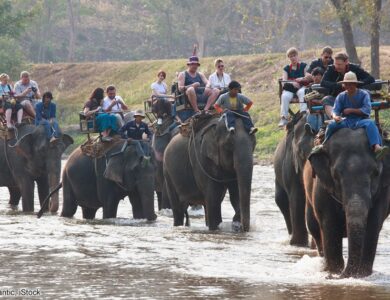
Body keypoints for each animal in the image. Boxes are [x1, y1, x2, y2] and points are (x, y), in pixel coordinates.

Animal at [304, 127, 390, 278]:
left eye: (375, 173)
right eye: (336, 175)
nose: (344, 275)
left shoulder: (383, 191)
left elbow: (374, 224)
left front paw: (362, 274)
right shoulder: (322, 187)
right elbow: (329, 224)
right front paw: (335, 272)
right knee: (315, 228)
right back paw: (324, 266)